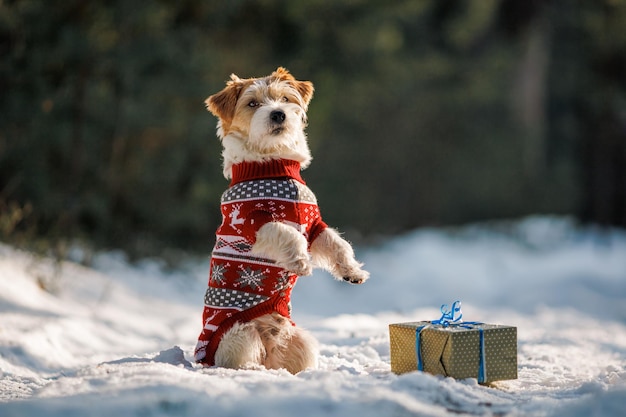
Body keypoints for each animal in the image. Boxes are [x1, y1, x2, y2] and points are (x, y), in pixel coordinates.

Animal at [190, 66, 366, 372]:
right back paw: (251, 369)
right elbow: (287, 233)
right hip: (239, 333)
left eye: (284, 98)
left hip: (300, 342)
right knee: (238, 357)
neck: (271, 163)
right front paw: (300, 262)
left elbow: (339, 244)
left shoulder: (314, 224)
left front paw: (352, 271)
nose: (278, 114)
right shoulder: (253, 222)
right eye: (252, 103)